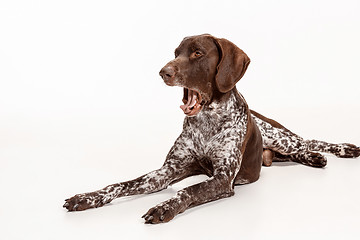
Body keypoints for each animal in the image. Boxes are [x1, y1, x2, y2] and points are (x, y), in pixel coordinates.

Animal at [63, 33, 358, 223]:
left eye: (197, 53)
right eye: (175, 54)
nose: (163, 72)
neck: (207, 122)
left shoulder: (223, 178)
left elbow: (188, 190)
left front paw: (164, 206)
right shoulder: (165, 172)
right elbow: (120, 184)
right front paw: (87, 197)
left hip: (280, 137)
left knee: (309, 141)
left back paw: (339, 150)